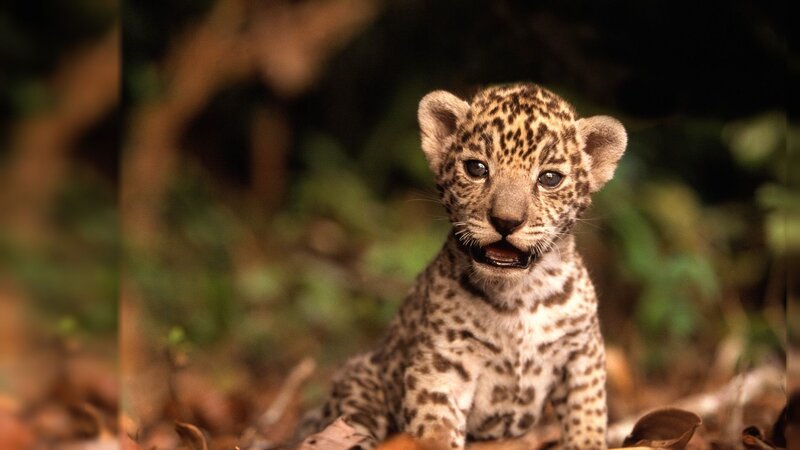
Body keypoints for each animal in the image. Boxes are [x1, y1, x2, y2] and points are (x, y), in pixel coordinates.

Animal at [295, 83, 627, 450]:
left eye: (550, 178)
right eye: (477, 169)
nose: (506, 221)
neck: (519, 295)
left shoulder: (582, 354)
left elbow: (587, 415)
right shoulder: (443, 364)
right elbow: (436, 427)